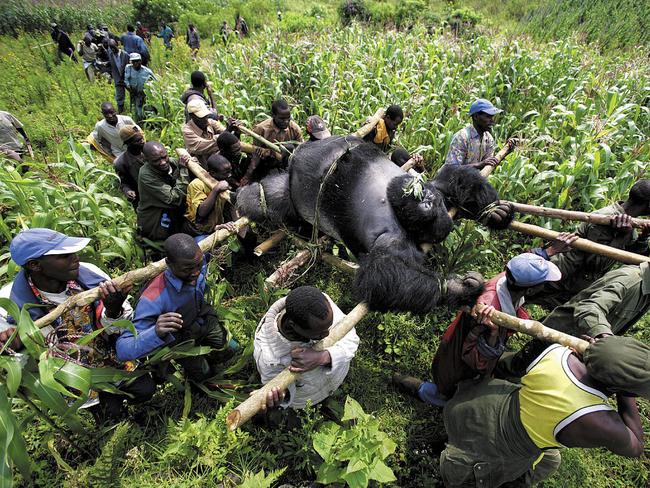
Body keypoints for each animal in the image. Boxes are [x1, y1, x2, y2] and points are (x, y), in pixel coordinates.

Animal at [235, 135, 512, 314]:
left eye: (428, 200)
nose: (424, 199)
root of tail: (296, 155)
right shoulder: (394, 238)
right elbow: (381, 274)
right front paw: (456, 288)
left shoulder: (436, 188)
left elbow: (455, 177)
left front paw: (494, 213)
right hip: (293, 191)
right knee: (268, 199)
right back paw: (249, 197)